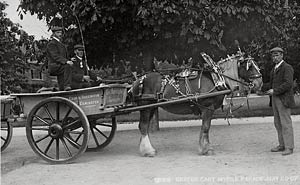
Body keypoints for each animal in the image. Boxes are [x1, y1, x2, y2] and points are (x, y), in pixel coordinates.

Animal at [132, 51, 262, 156]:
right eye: (250, 66)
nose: (259, 83)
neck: (216, 78)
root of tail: (138, 80)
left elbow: (204, 128)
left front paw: (202, 147)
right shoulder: (208, 108)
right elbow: (206, 127)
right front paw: (206, 149)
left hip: (152, 107)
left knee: (144, 127)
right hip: (146, 106)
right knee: (143, 126)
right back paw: (148, 151)